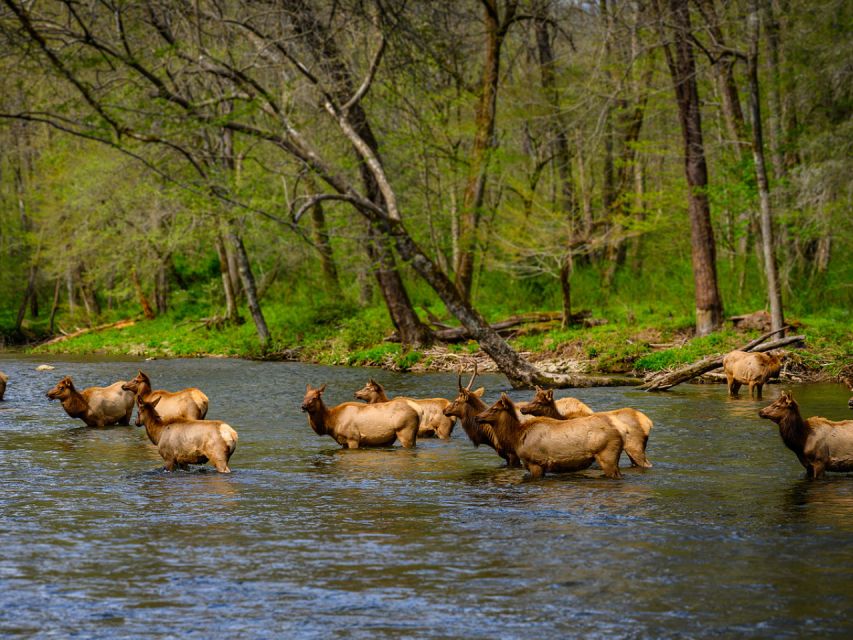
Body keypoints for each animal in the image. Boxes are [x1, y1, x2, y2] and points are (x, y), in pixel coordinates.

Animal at [476, 390, 624, 480]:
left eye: (495, 408)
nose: (477, 417)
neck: (516, 438)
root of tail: (619, 433)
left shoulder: (535, 462)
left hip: (607, 455)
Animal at [520, 384, 652, 470]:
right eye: (533, 398)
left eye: (539, 402)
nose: (522, 409)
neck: (561, 418)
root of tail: (648, 422)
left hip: (634, 446)